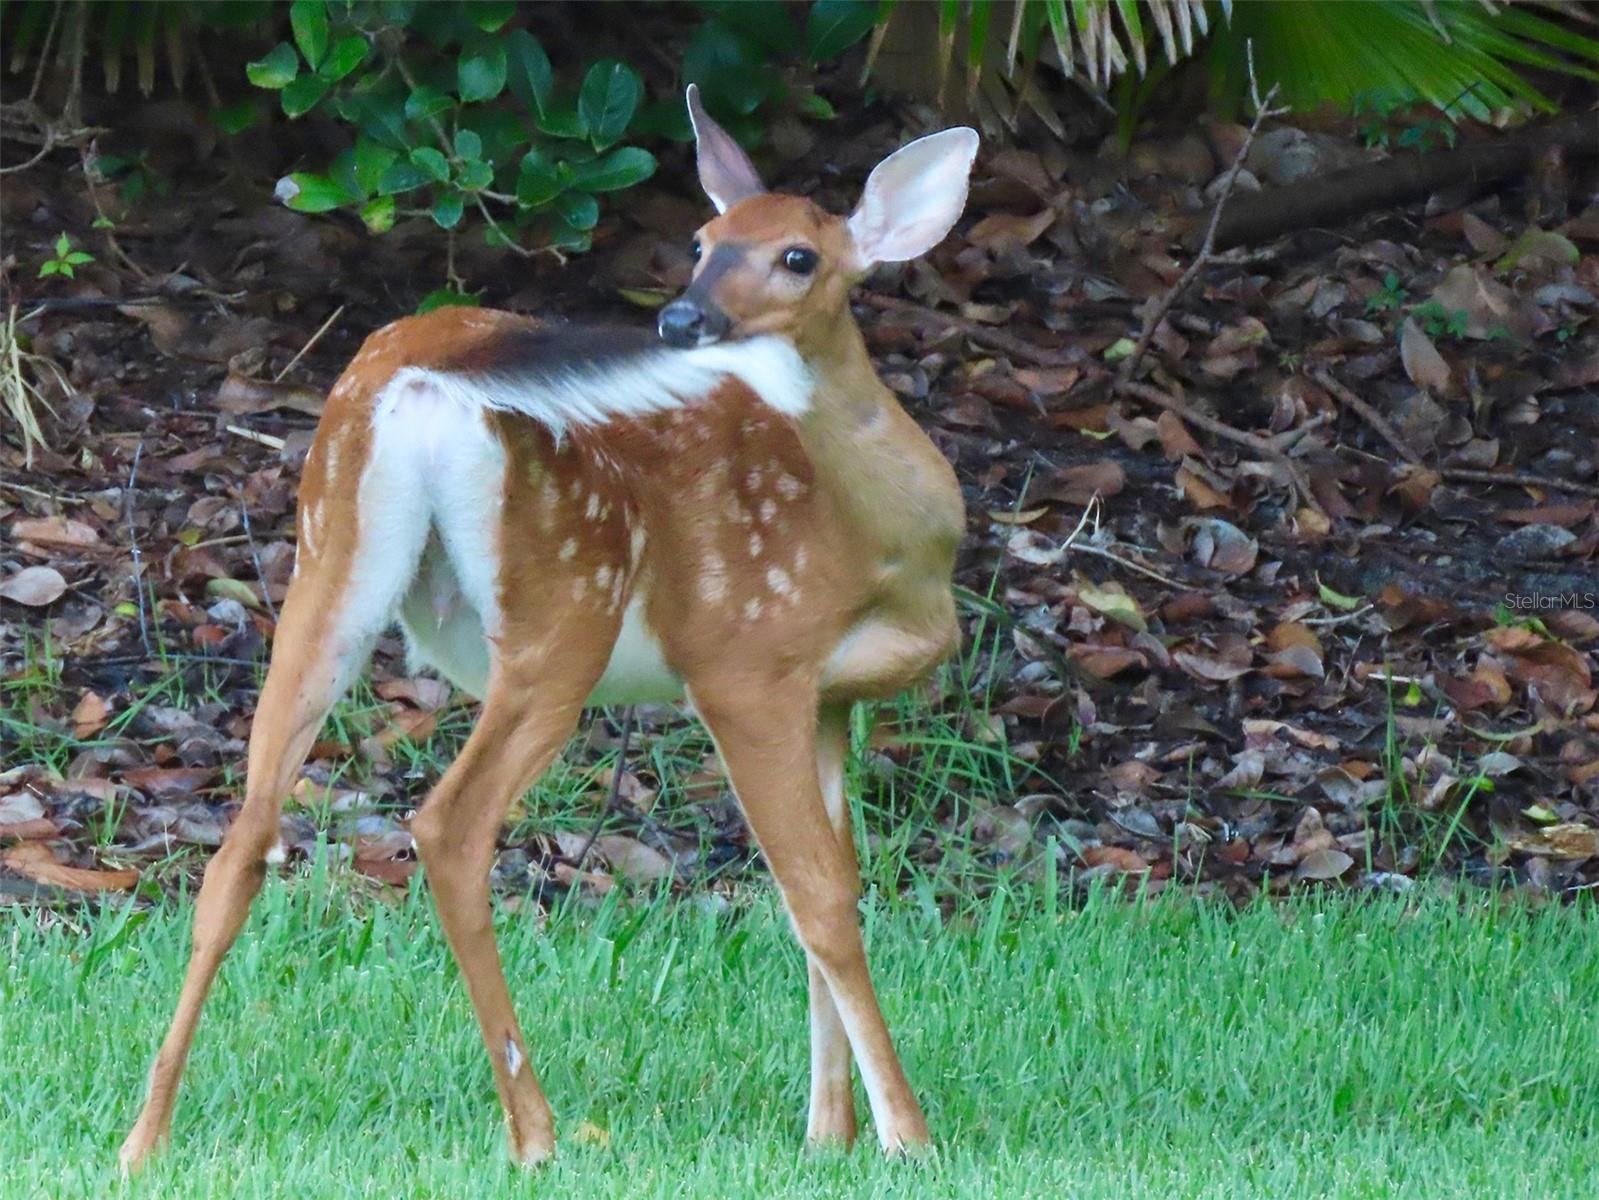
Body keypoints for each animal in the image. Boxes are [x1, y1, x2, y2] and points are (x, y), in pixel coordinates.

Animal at [121, 86, 972, 1177]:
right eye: (701, 242)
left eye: (797, 255)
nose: (681, 317)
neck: (888, 548)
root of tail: (423, 380)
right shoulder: (745, 662)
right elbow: (820, 899)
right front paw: (903, 1137)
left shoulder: (828, 696)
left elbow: (826, 886)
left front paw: (827, 1135)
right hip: (562, 608)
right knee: (450, 824)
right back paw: (535, 1131)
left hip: (329, 559)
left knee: (244, 839)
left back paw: (143, 1138)